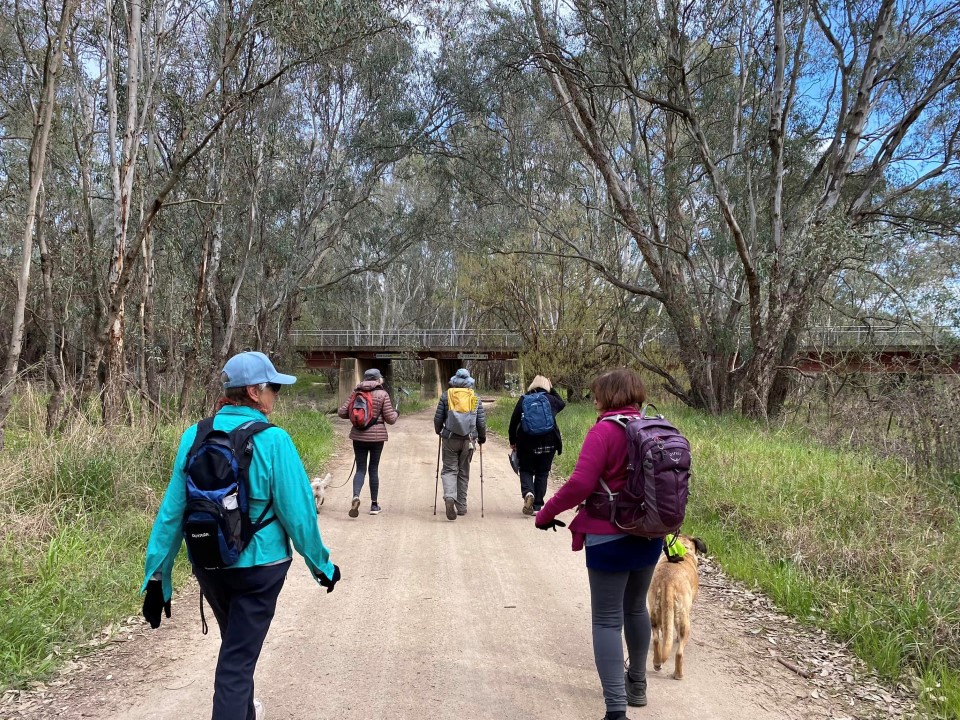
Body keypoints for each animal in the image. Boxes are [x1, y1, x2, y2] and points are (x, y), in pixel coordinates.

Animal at [644, 536, 704, 680]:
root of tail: (668, 582)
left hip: (654, 614)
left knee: (656, 639)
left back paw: (657, 663)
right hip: (685, 621)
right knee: (679, 652)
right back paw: (678, 674)